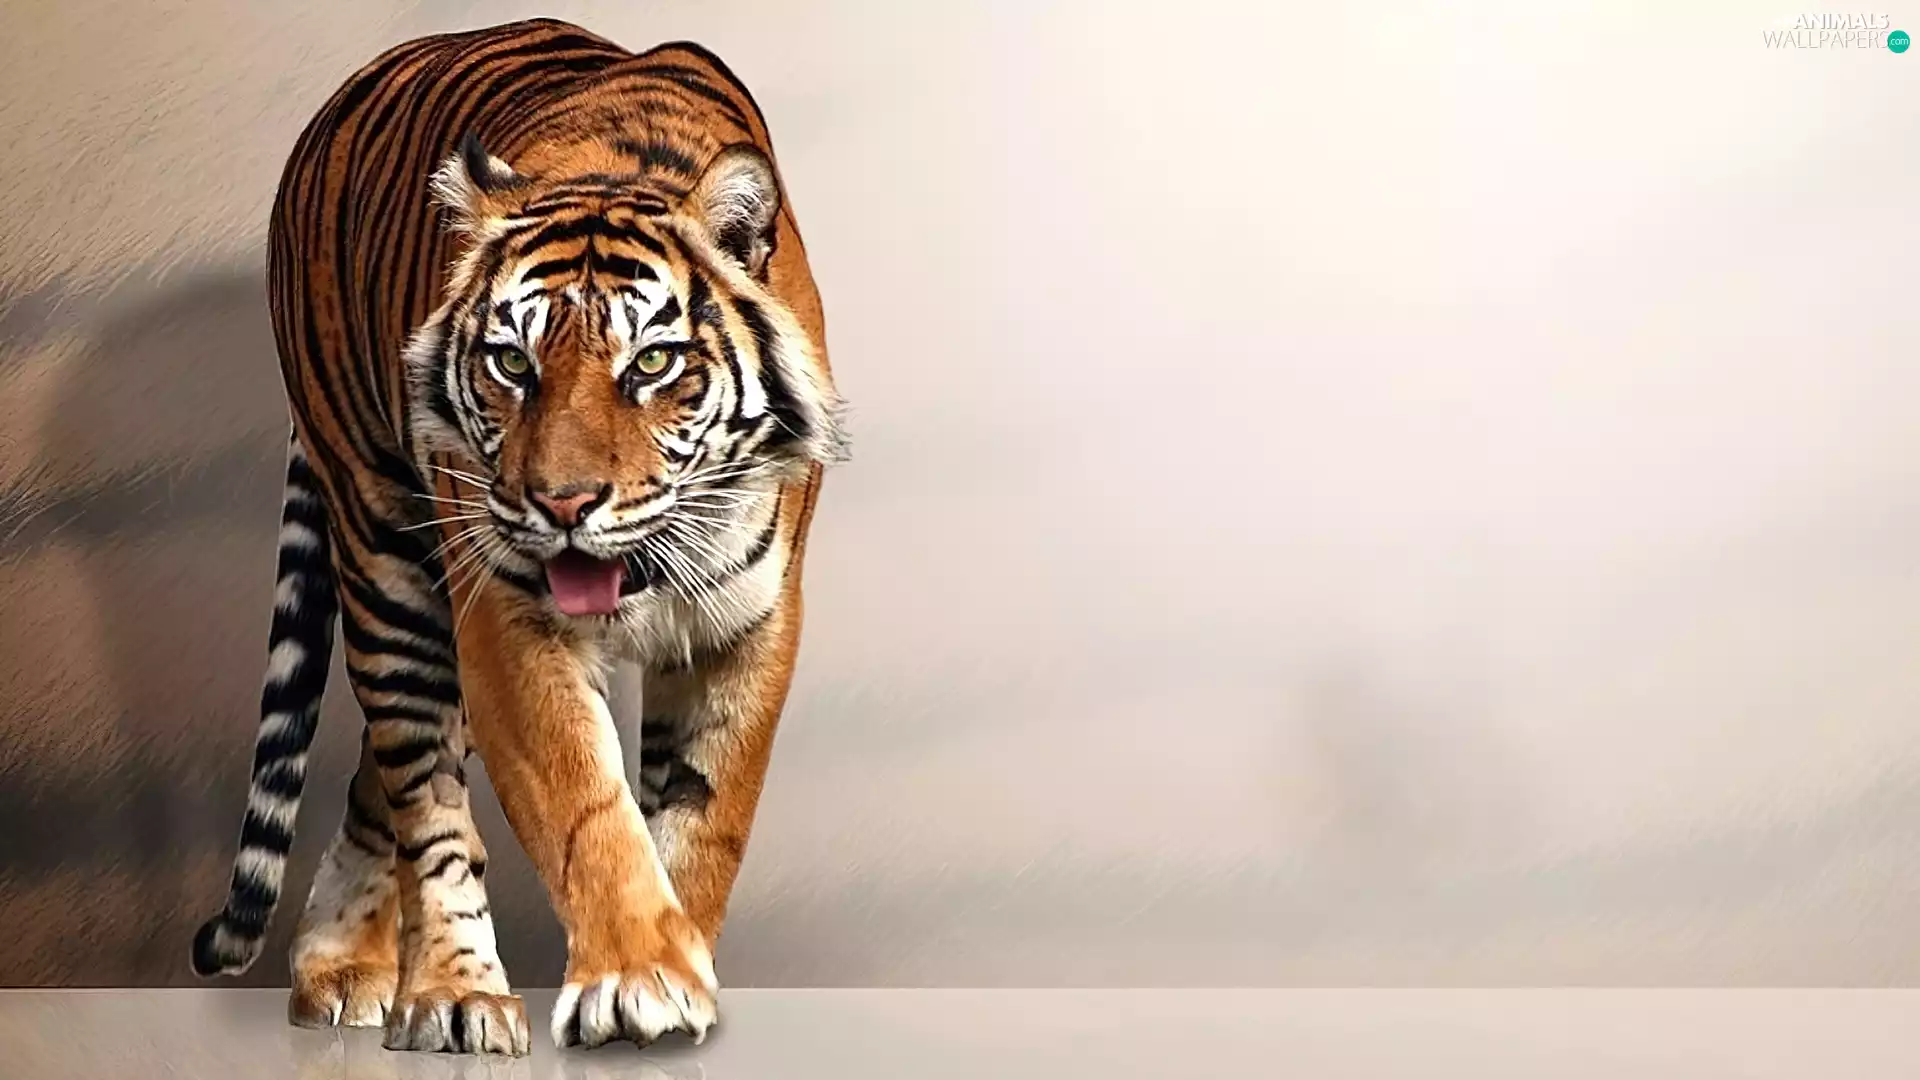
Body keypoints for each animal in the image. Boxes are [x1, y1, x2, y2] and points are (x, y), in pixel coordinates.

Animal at [187, 18, 846, 1056]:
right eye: (510, 363)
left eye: (651, 363)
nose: (563, 503)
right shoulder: (504, 616)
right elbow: (587, 808)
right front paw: (637, 975)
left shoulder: (753, 620)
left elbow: (707, 814)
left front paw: (682, 964)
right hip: (387, 564)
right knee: (423, 797)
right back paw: (447, 993)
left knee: (382, 784)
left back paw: (343, 964)